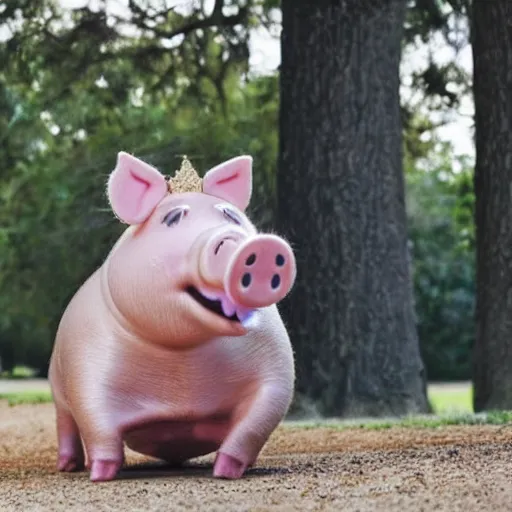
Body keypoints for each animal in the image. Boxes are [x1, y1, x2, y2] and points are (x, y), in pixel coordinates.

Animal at [49, 152, 296, 484]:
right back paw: (70, 466)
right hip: (56, 384)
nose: (261, 246)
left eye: (232, 217)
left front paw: (226, 472)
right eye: (173, 218)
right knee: (66, 424)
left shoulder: (275, 369)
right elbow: (97, 422)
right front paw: (100, 475)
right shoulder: (87, 366)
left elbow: (257, 421)